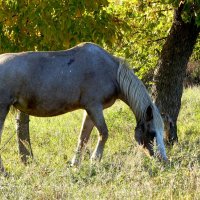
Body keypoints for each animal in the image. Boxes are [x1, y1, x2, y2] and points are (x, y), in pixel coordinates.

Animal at [0, 42, 167, 173]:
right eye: (152, 133)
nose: (164, 161)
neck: (111, 73)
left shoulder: (90, 110)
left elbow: (83, 137)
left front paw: (75, 165)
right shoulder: (94, 107)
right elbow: (104, 133)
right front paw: (95, 160)